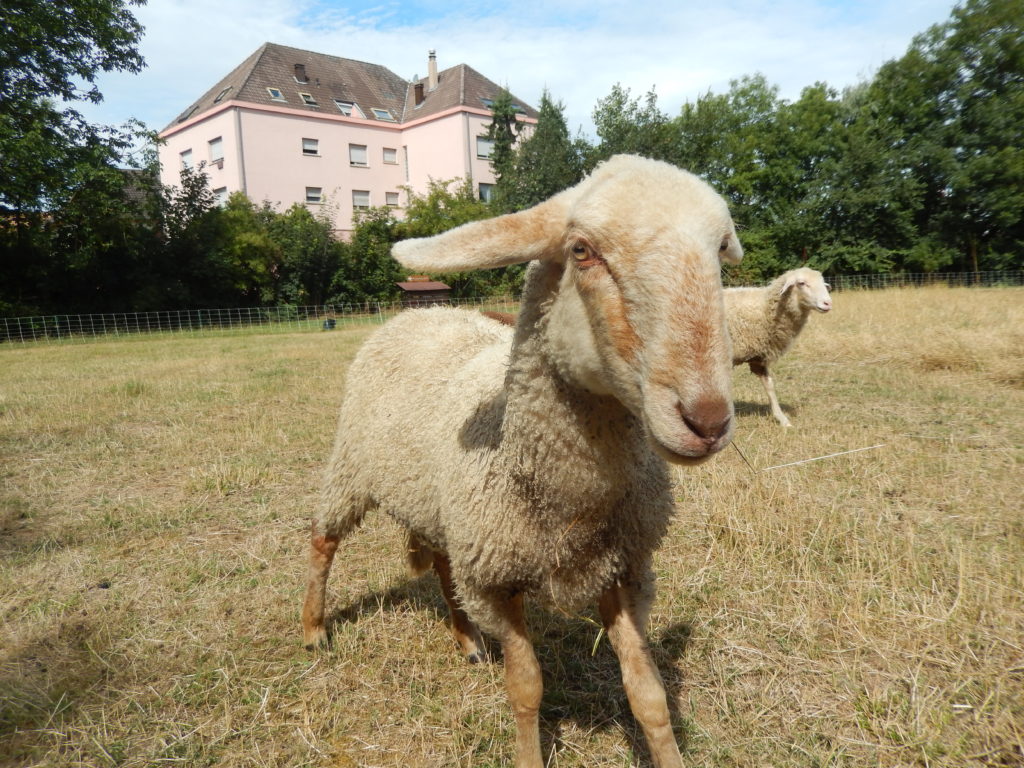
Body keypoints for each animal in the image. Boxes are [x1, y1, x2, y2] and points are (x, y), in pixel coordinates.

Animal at [299, 156, 741, 768]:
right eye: (581, 250)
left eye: (720, 248)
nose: (708, 420)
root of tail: (421, 313)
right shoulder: (497, 581)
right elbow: (526, 688)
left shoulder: (625, 569)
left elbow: (647, 692)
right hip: (352, 467)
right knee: (323, 541)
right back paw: (314, 629)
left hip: (444, 509)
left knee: (443, 565)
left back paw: (466, 640)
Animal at [729, 268, 831, 428]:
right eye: (801, 283)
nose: (828, 303)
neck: (765, 309)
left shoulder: (758, 358)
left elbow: (769, 386)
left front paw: (782, 419)